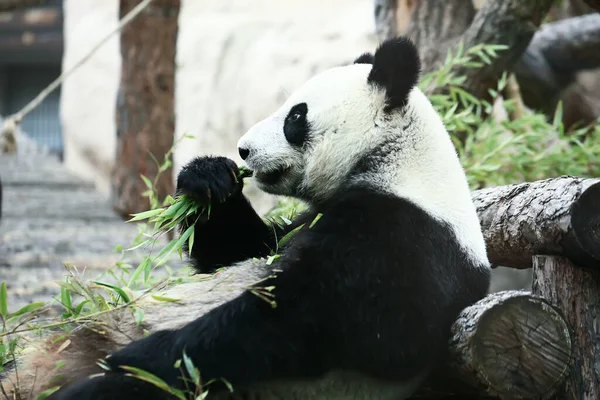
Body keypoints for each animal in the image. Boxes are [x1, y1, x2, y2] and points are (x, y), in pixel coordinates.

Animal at [8, 36, 492, 398]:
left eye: (295, 115)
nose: (243, 150)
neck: (400, 166)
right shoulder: (314, 218)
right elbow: (243, 250)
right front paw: (208, 176)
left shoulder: (406, 236)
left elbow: (309, 316)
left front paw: (142, 355)